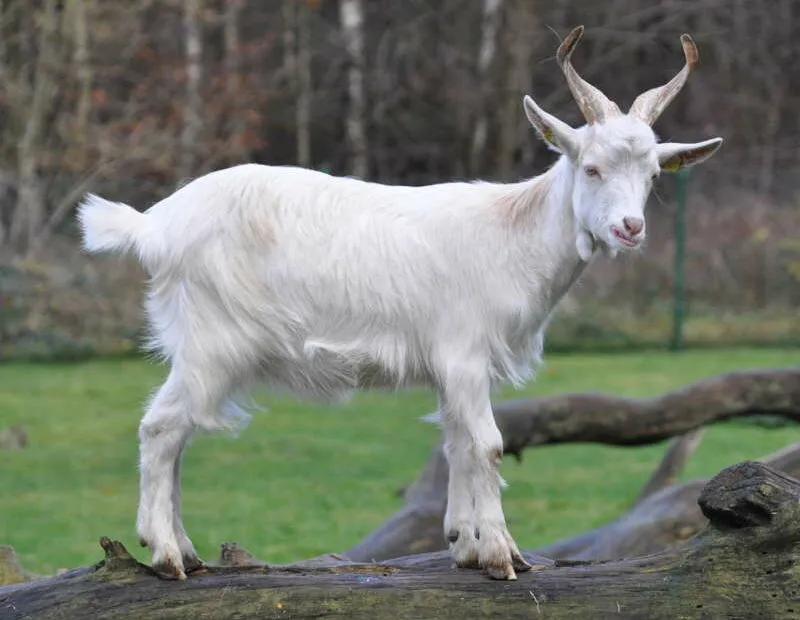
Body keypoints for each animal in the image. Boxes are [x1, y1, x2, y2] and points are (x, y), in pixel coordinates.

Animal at [77, 27, 722, 581]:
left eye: (652, 176)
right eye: (589, 167)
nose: (629, 228)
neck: (512, 235)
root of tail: (154, 226)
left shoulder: (454, 365)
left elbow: (457, 445)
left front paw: (465, 545)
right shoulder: (464, 352)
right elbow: (488, 444)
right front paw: (502, 557)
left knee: (176, 433)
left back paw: (185, 548)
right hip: (213, 342)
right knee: (161, 427)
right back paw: (166, 555)